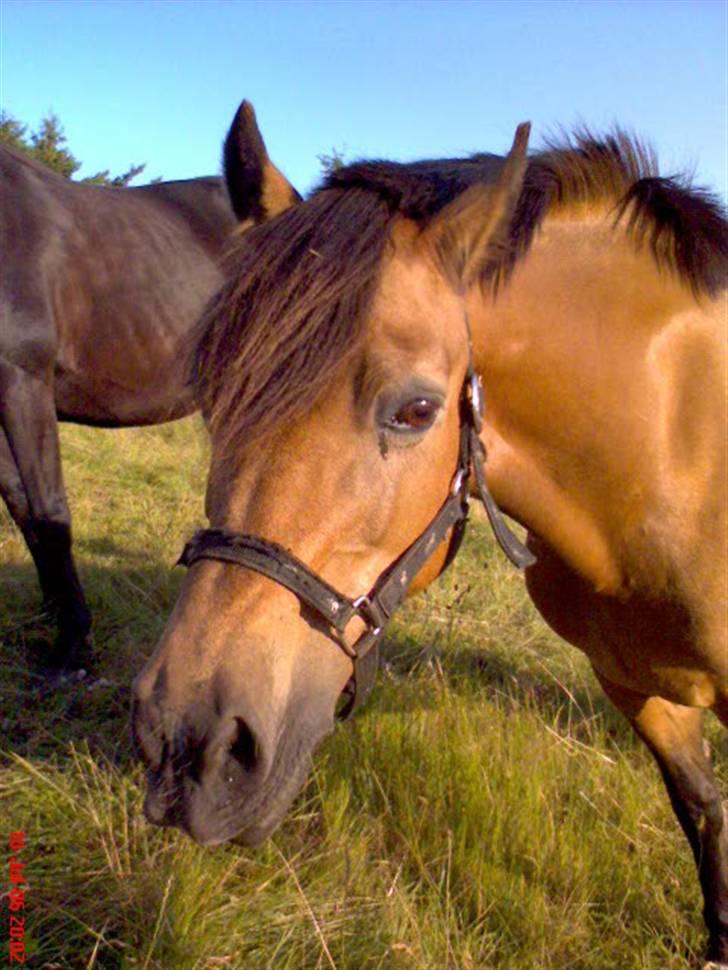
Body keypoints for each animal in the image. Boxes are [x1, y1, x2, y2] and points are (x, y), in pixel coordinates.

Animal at [132, 123, 728, 960]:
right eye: (214, 394)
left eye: (416, 411)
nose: (186, 744)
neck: (672, 462)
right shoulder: (636, 686)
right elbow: (704, 808)